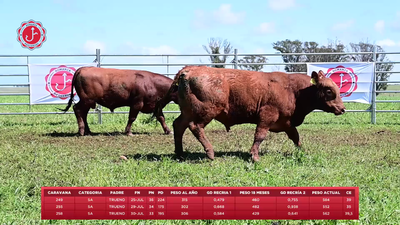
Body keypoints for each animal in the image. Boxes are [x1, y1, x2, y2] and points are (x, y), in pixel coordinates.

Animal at [155, 65, 346, 162]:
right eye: (329, 90)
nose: (342, 109)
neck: (293, 89)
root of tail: (189, 70)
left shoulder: (287, 122)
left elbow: (296, 137)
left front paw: (302, 152)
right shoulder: (267, 116)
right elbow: (259, 136)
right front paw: (254, 156)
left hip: (188, 111)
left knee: (179, 126)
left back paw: (179, 153)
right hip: (206, 111)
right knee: (195, 127)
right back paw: (209, 152)